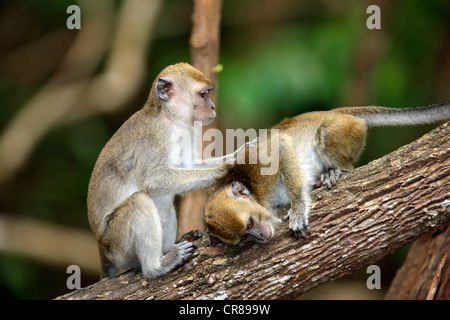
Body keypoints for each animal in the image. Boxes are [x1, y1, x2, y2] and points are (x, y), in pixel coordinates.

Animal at [86, 63, 237, 278]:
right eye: (203, 94)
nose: (213, 107)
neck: (169, 119)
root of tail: (102, 248)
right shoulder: (154, 136)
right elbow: (152, 180)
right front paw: (221, 170)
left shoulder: (188, 131)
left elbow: (189, 166)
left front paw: (245, 151)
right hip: (117, 245)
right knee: (139, 201)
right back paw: (156, 267)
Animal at [204, 101, 450, 244]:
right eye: (245, 238)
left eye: (249, 225)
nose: (260, 237)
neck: (256, 193)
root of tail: (331, 111)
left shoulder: (257, 170)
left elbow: (281, 145)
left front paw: (298, 210)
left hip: (346, 128)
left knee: (323, 135)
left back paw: (336, 170)